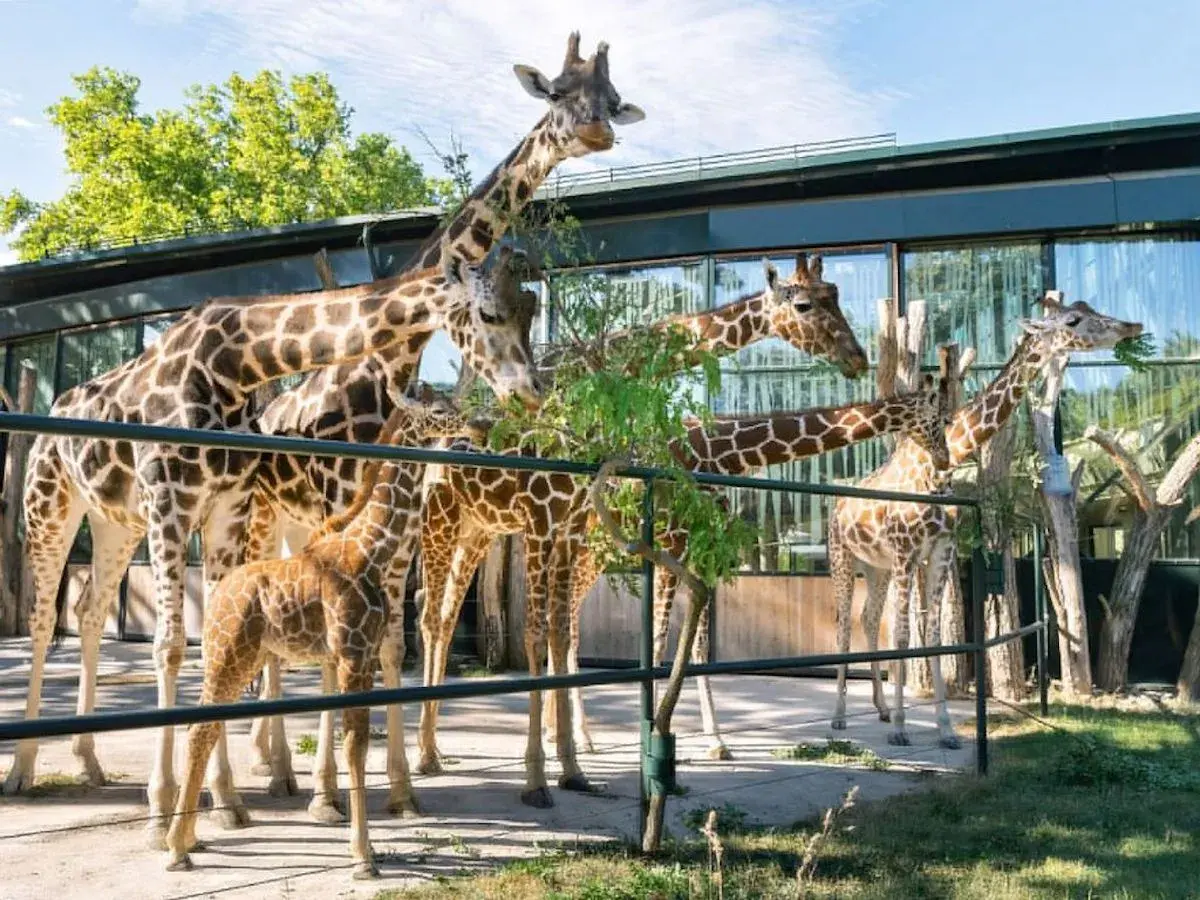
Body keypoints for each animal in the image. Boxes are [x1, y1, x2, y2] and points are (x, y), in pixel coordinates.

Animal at [164, 394, 479, 881]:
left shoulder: (358, 655)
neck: (371, 548)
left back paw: (190, 838)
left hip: (246, 656)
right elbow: (354, 747)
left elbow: (355, 745)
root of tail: (216, 600)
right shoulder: (350, 655)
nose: (477, 427)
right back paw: (178, 847)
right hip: (228, 653)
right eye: (440, 412)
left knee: (207, 726)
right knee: (200, 729)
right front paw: (363, 857)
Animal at [235, 29, 646, 813]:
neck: (383, 367)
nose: (595, 132)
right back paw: (268, 764)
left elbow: (395, 641)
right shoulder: (342, 508)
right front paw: (331, 794)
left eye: (612, 100)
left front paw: (394, 784)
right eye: (557, 91)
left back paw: (281, 764)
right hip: (263, 515)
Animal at [414, 254, 872, 806]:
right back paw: (425, 755)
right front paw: (543, 776)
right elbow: (571, 636)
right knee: (428, 614)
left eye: (835, 296)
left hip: (483, 530)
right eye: (804, 304)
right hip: (441, 521)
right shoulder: (560, 522)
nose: (858, 358)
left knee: (457, 616)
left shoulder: (649, 541)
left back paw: (462, 748)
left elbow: (683, 644)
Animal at [829, 292, 1144, 747]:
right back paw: (839, 717)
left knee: (870, 619)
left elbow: (934, 633)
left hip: (876, 567)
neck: (938, 469)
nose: (1131, 326)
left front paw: (944, 729)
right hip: (843, 557)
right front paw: (905, 730)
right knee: (843, 623)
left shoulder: (939, 551)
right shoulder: (907, 552)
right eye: (1073, 320)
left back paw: (882, 709)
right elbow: (905, 632)